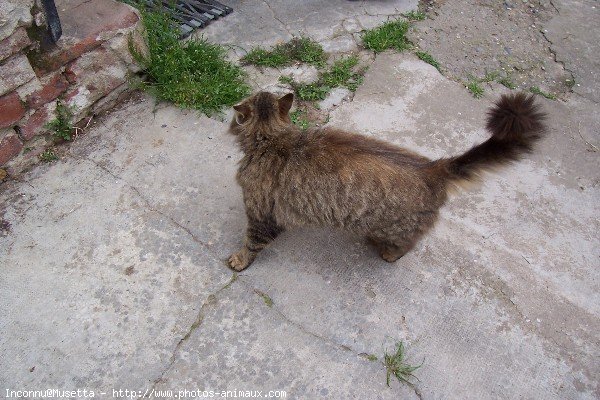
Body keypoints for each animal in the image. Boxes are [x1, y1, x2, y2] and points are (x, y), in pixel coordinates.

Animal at [227, 91, 548, 272]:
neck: (271, 138)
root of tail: (432, 168)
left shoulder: (261, 215)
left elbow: (251, 244)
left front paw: (239, 261)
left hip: (399, 228)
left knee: (407, 244)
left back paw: (388, 252)